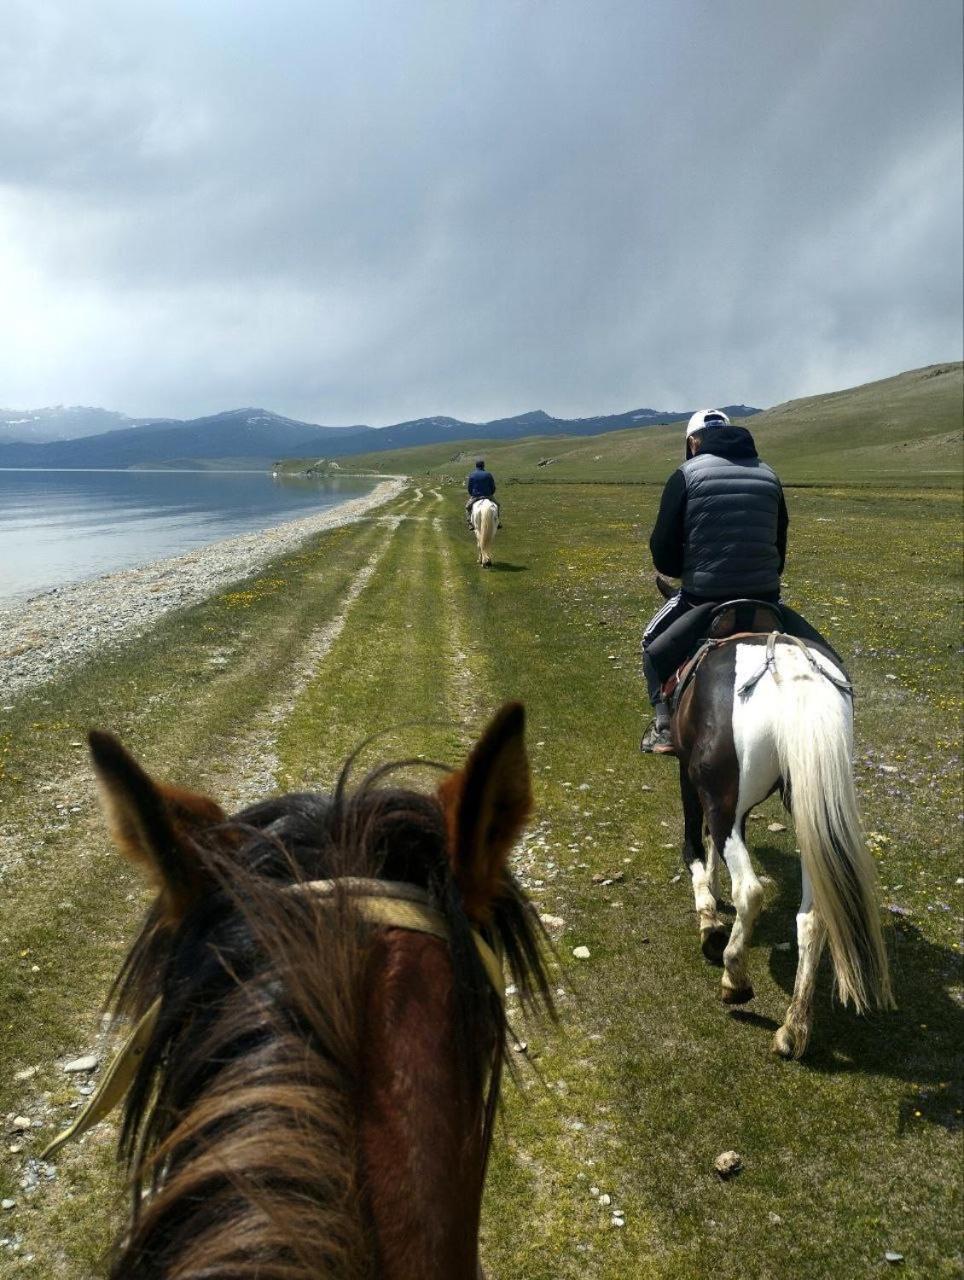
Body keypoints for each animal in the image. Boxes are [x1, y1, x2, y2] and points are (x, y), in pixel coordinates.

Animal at [665, 622, 891, 1059]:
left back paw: (735, 980)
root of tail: (794, 675)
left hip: (721, 797)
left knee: (749, 890)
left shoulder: (692, 778)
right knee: (814, 916)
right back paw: (794, 1027)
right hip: (809, 811)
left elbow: (694, 845)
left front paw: (709, 919)